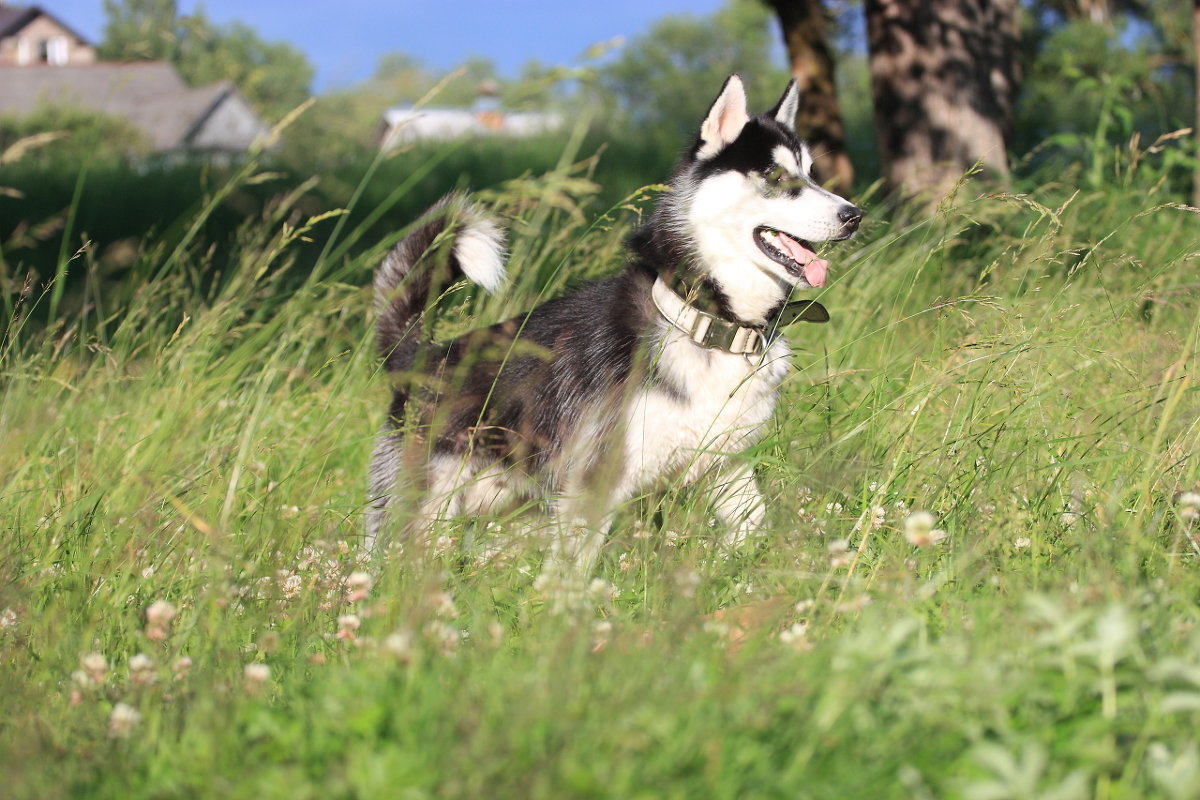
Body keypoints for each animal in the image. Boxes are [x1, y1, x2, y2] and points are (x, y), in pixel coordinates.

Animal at [364, 74, 864, 573]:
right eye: (776, 177)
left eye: (813, 175)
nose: (854, 216)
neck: (705, 322)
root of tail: (419, 356)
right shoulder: (597, 479)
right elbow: (574, 573)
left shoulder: (728, 466)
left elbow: (753, 530)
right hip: (426, 509)